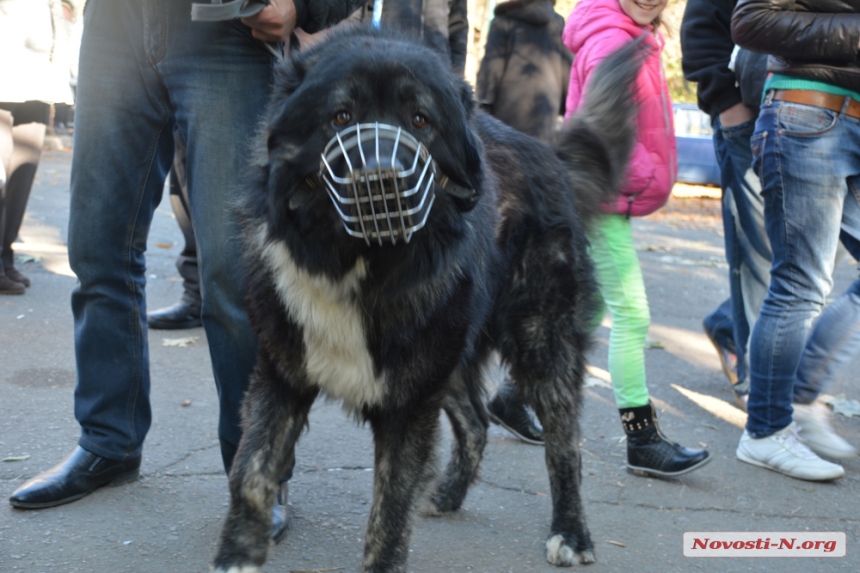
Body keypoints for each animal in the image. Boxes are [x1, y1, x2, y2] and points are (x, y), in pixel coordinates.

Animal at [214, 25, 640, 572]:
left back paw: (571, 531)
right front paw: (238, 554)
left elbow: (390, 508)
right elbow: (250, 471)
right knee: (477, 422)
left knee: (564, 442)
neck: (359, 266)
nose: (380, 181)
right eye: (341, 117)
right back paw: (449, 493)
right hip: (448, 354)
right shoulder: (283, 372)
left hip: (538, 340)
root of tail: (551, 155)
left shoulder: (408, 403)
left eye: (420, 120)